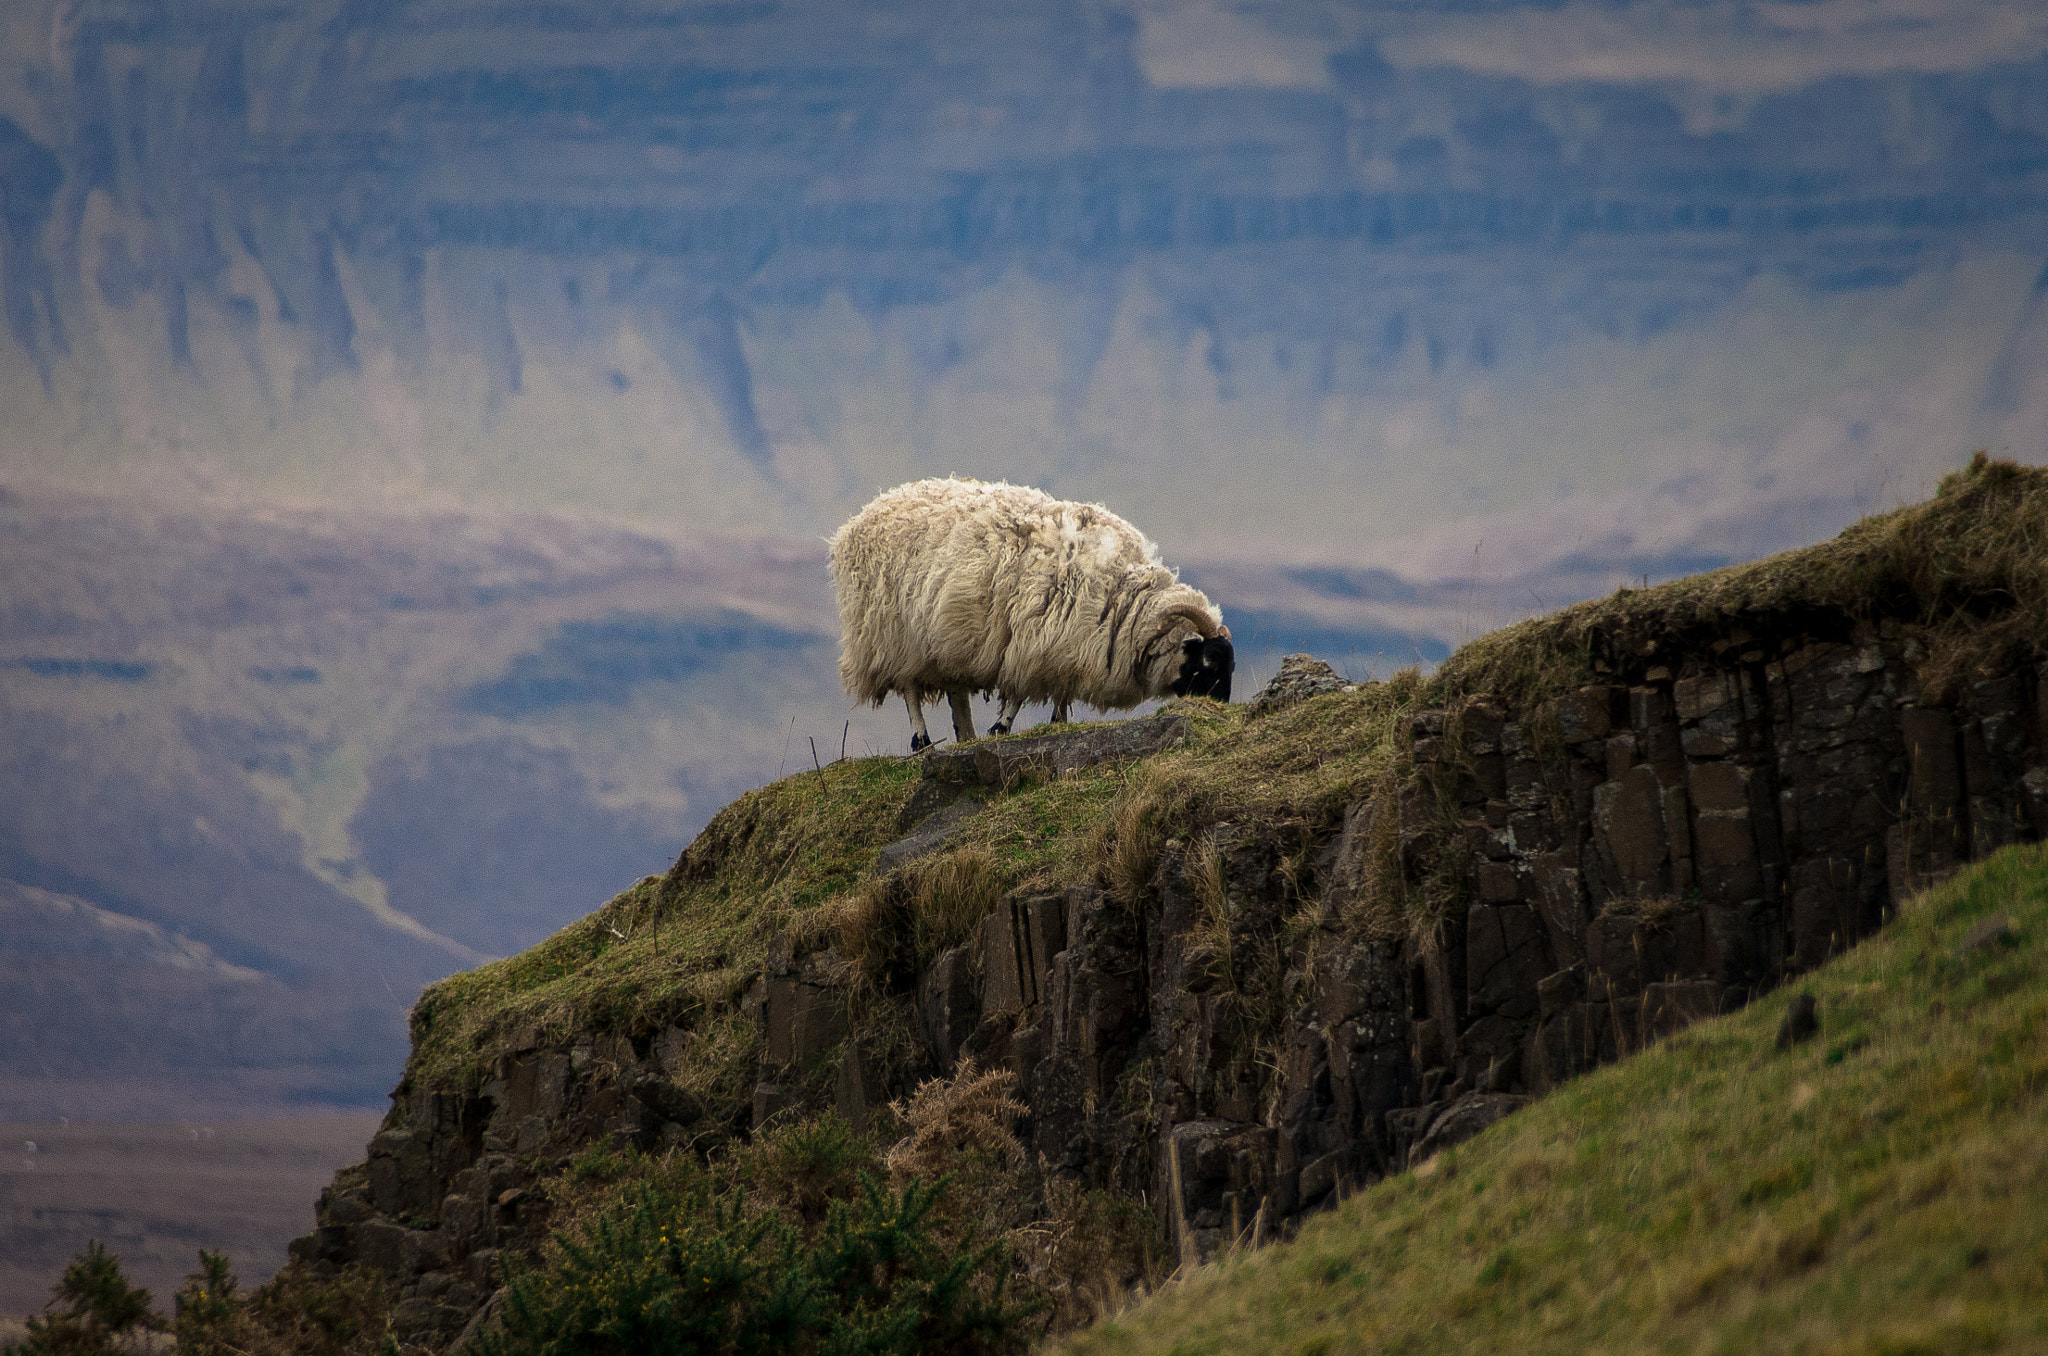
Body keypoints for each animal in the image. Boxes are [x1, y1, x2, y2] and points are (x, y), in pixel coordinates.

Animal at [828, 477, 1234, 751]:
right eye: (1208, 662)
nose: (1223, 709)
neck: (1125, 604)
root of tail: (862, 516)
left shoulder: (1068, 645)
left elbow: (1060, 692)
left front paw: (1058, 723)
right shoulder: (1031, 639)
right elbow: (1019, 694)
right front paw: (1001, 728)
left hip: (947, 637)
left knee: (956, 693)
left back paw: (967, 736)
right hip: (890, 634)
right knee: (911, 689)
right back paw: (923, 740)